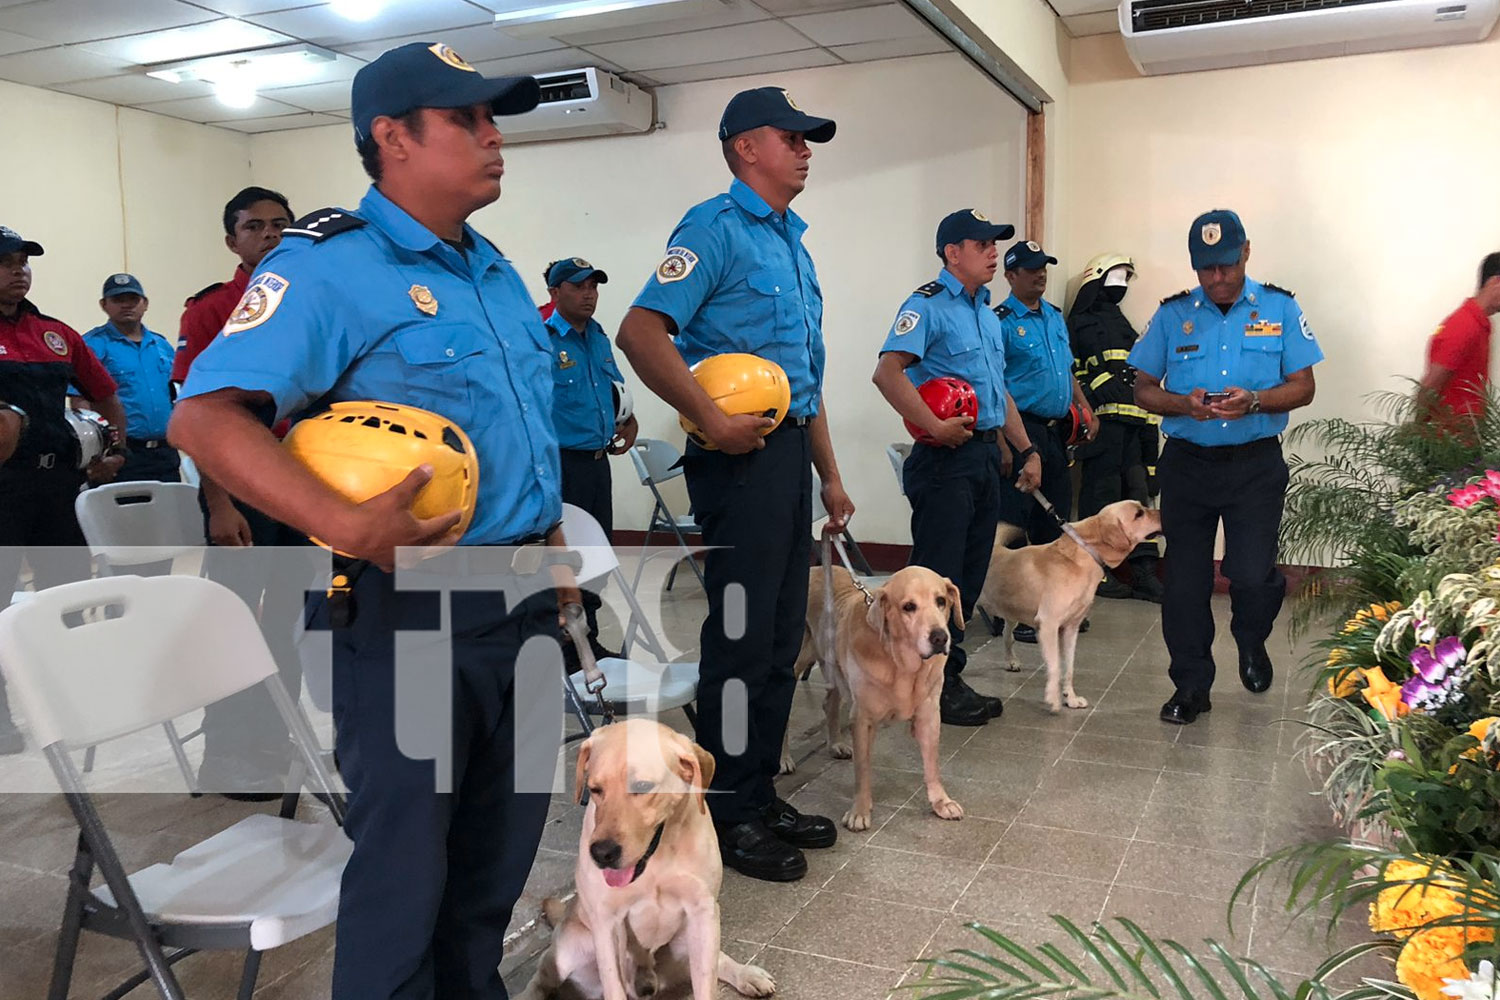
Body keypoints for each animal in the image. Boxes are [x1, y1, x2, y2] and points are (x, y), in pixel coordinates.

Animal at [519, 722, 774, 995]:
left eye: (641, 786)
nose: (602, 853)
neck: (655, 860)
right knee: (541, 979)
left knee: (717, 960)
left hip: (688, 938)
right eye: (595, 789)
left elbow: (707, 982)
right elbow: (613, 986)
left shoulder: (702, 910)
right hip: (571, 948)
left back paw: (747, 974)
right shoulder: (607, 923)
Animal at [780, 566, 966, 833]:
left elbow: (933, 764)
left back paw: (836, 743)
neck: (902, 665)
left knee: (830, 703)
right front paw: (859, 812)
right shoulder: (862, 720)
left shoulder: (929, 715)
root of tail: (813, 568)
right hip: (794, 665)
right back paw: (784, 759)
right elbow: (863, 769)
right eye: (909, 606)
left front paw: (941, 801)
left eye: (941, 601)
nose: (940, 637)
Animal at [978, 503, 1164, 716]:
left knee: (1007, 636)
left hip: (1012, 613)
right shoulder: (1048, 625)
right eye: (1138, 514)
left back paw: (1011, 661)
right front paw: (1053, 698)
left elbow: (1068, 668)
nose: (1162, 512)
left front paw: (1071, 698)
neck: (1085, 553)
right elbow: (1055, 666)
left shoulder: (1070, 628)